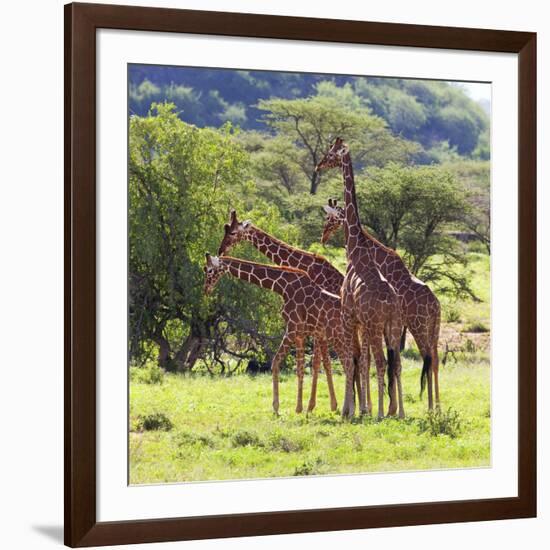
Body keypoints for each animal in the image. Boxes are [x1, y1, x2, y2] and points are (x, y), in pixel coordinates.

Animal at [204, 254, 354, 414]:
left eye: (209, 270)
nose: (206, 289)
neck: (283, 287)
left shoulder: (292, 329)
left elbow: (276, 362)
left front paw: (276, 407)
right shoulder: (300, 334)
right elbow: (300, 368)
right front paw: (299, 408)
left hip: (337, 336)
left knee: (349, 365)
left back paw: (348, 410)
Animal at [314, 138, 406, 418]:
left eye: (331, 154)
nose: (318, 165)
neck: (356, 250)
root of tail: (391, 305)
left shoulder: (348, 314)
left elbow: (351, 359)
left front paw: (349, 410)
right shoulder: (361, 322)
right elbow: (360, 360)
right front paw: (360, 408)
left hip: (377, 326)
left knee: (381, 361)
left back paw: (380, 413)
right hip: (393, 326)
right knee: (396, 363)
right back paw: (399, 412)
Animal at [320, 196, 444, 412]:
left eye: (330, 217)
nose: (323, 235)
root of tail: (435, 305)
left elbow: (373, 359)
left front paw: (378, 407)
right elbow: (386, 360)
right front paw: (387, 407)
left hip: (418, 326)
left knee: (427, 358)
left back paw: (429, 407)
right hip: (433, 329)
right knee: (435, 360)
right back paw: (436, 406)